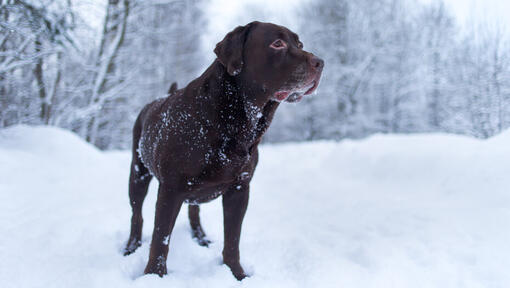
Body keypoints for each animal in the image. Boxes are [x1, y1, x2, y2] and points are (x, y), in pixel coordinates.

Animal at [123, 21, 322, 280]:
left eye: (300, 44)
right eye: (277, 43)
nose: (320, 62)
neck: (233, 123)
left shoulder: (239, 189)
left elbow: (233, 239)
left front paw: (237, 274)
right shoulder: (171, 188)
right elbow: (160, 240)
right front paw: (154, 276)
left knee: (193, 211)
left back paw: (200, 237)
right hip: (138, 173)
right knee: (137, 214)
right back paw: (131, 246)